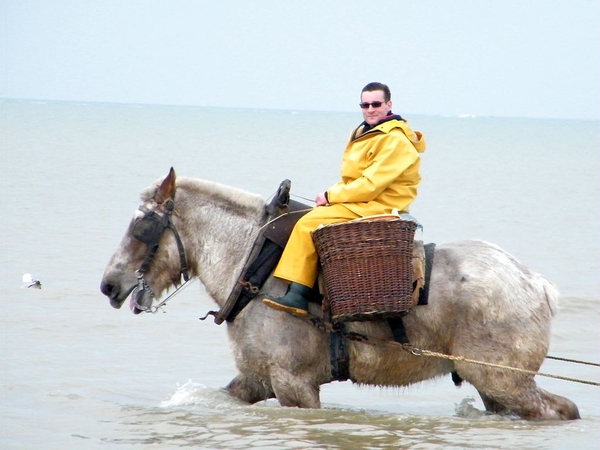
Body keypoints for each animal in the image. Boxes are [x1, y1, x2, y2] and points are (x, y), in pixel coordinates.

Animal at [101, 167, 580, 420]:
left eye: (143, 229)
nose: (109, 285)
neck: (255, 261)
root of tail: (534, 282)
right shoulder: (256, 380)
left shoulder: (294, 384)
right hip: (497, 389)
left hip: (505, 382)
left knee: (554, 411)